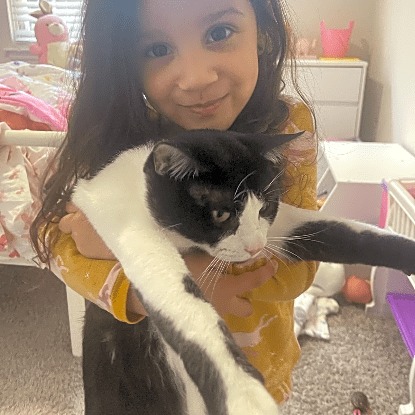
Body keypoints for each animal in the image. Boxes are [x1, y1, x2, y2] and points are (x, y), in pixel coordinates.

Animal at [72, 129, 415, 415]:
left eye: (264, 208)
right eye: (221, 214)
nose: (255, 248)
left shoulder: (278, 226)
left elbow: (350, 234)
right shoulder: (128, 224)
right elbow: (184, 304)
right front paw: (243, 391)